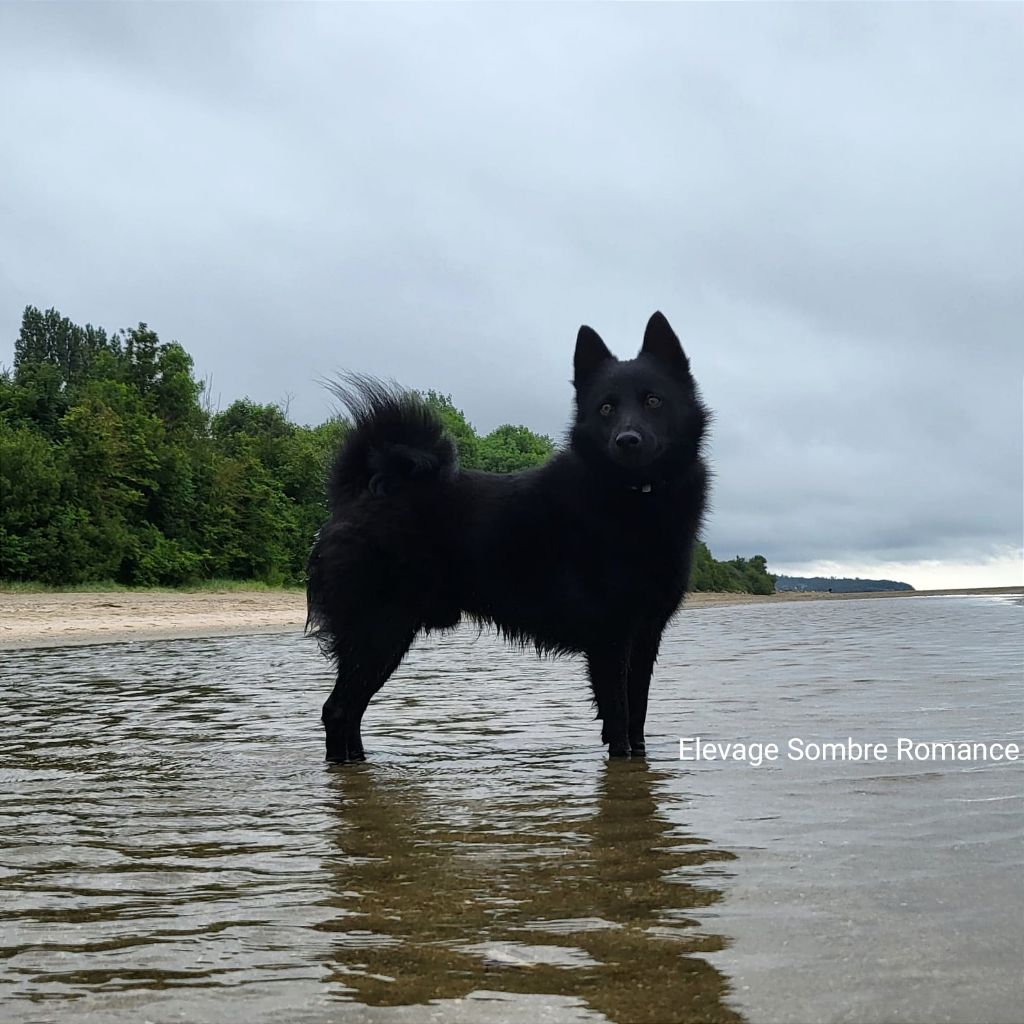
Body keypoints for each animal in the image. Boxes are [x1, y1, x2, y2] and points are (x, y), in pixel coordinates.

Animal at [307, 311, 708, 761]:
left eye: (653, 400)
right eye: (606, 408)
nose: (627, 440)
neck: (637, 497)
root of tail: (357, 494)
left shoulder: (645, 636)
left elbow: (637, 714)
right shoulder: (610, 637)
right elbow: (619, 719)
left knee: (351, 711)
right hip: (379, 631)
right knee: (338, 710)